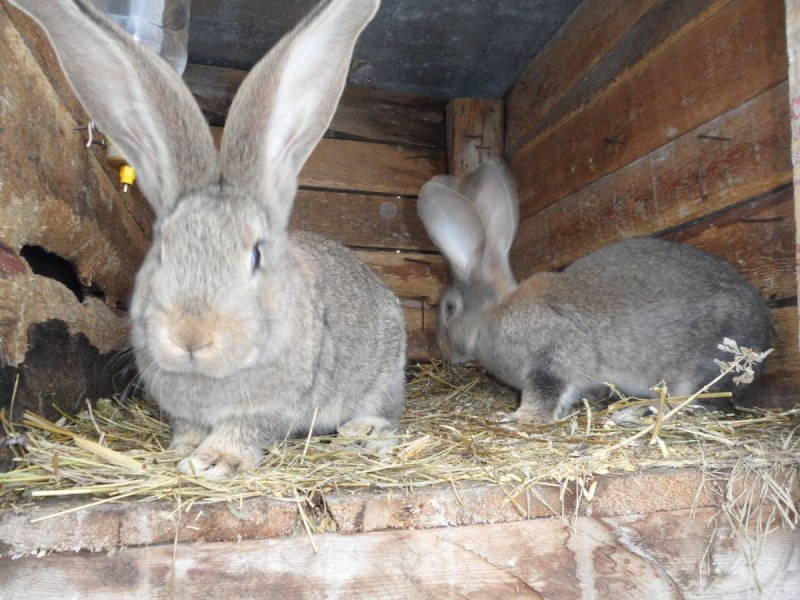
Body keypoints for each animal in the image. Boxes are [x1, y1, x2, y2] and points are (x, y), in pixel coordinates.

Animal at [13, 0, 410, 478]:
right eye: (161, 251)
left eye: (256, 256)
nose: (191, 336)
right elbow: (189, 428)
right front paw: (181, 451)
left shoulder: (270, 406)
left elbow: (244, 429)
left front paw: (214, 462)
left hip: (384, 374)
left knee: (386, 411)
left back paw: (364, 430)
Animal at [418, 157, 776, 424]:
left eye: (449, 309)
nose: (444, 351)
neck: (493, 313)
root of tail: (765, 334)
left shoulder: (552, 354)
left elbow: (546, 390)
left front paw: (520, 417)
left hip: (704, 368)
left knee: (695, 402)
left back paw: (638, 412)